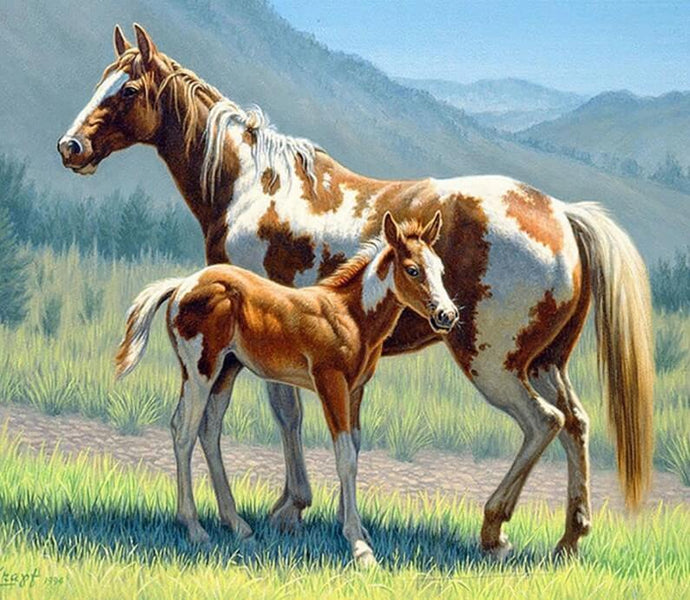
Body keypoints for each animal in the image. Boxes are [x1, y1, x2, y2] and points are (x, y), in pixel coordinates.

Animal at [115, 211, 458, 566]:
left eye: (441, 269)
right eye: (413, 269)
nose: (447, 315)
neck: (351, 315)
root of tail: (183, 285)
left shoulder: (355, 389)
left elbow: (354, 449)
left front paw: (360, 531)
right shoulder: (330, 382)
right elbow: (345, 457)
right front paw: (358, 546)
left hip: (226, 371)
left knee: (207, 430)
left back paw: (238, 525)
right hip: (200, 372)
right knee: (184, 431)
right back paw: (196, 529)